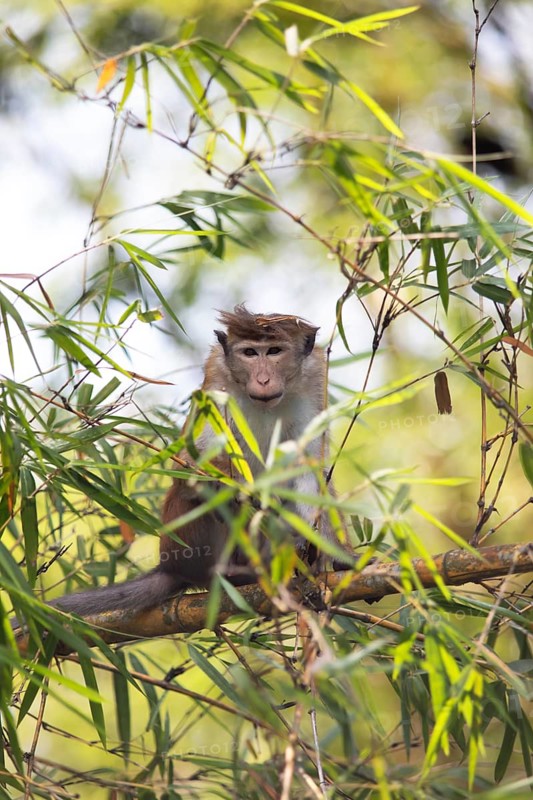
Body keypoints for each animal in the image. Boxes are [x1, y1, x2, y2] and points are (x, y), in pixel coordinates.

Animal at [15, 305, 349, 622]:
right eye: (251, 353)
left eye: (275, 351)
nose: (263, 379)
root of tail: (173, 567)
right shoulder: (216, 386)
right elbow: (188, 466)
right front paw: (238, 483)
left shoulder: (313, 384)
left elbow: (309, 473)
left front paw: (326, 552)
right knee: (201, 498)